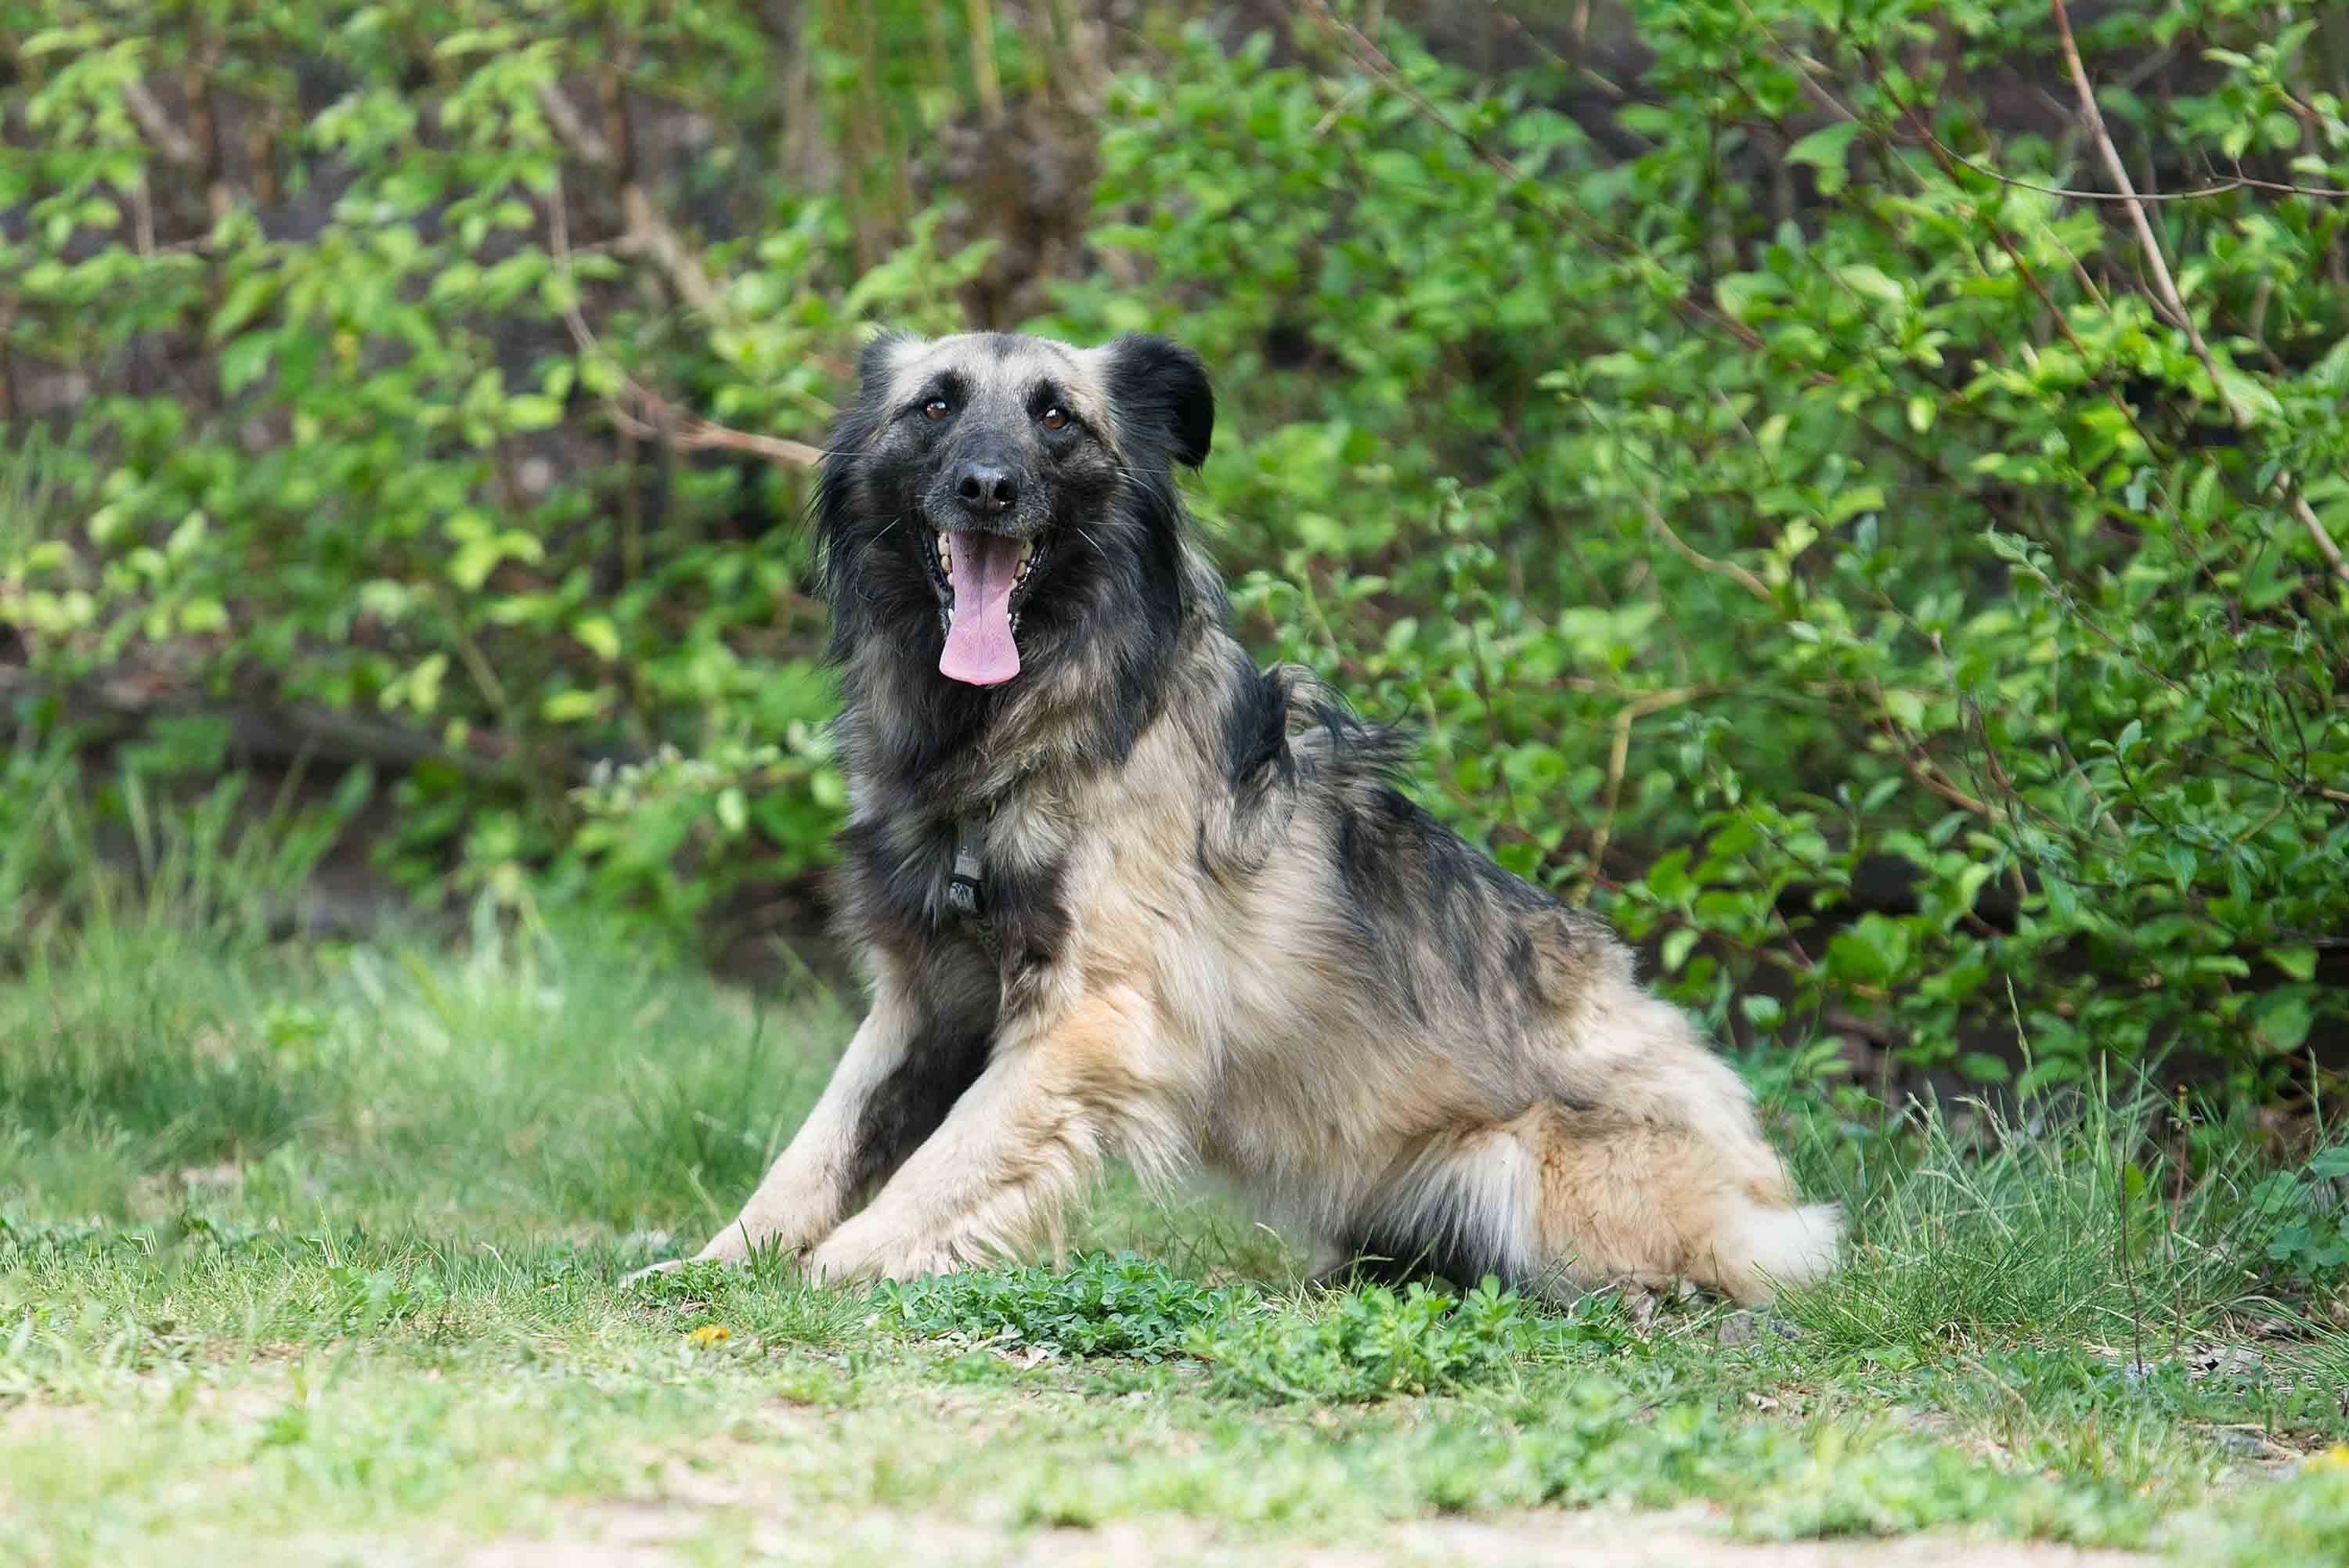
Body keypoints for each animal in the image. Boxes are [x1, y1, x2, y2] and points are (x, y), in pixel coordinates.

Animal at [634, 328, 1842, 1296]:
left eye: (1055, 416)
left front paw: (839, 1269)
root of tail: (1766, 1187)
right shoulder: (923, 1001)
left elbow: (940, 1166)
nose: (985, 487)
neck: (1024, 734)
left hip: (1519, 1162)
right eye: (934, 405)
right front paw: (715, 1264)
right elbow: (814, 1152)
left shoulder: (1089, 1021)